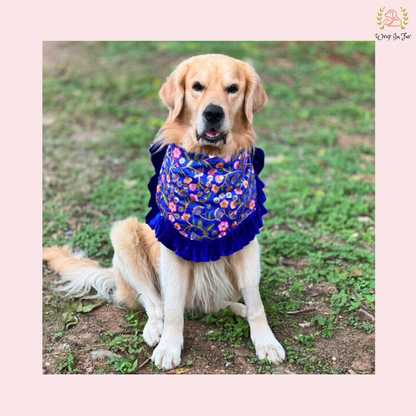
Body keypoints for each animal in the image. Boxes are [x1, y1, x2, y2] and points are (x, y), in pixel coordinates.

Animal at [44, 53, 286, 368]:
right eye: (197, 86)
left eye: (233, 88)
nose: (213, 113)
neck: (209, 167)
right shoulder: (171, 249)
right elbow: (170, 308)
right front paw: (169, 347)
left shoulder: (246, 242)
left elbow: (256, 302)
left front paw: (266, 341)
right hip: (124, 234)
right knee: (154, 301)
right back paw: (155, 329)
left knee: (215, 303)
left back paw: (237, 308)